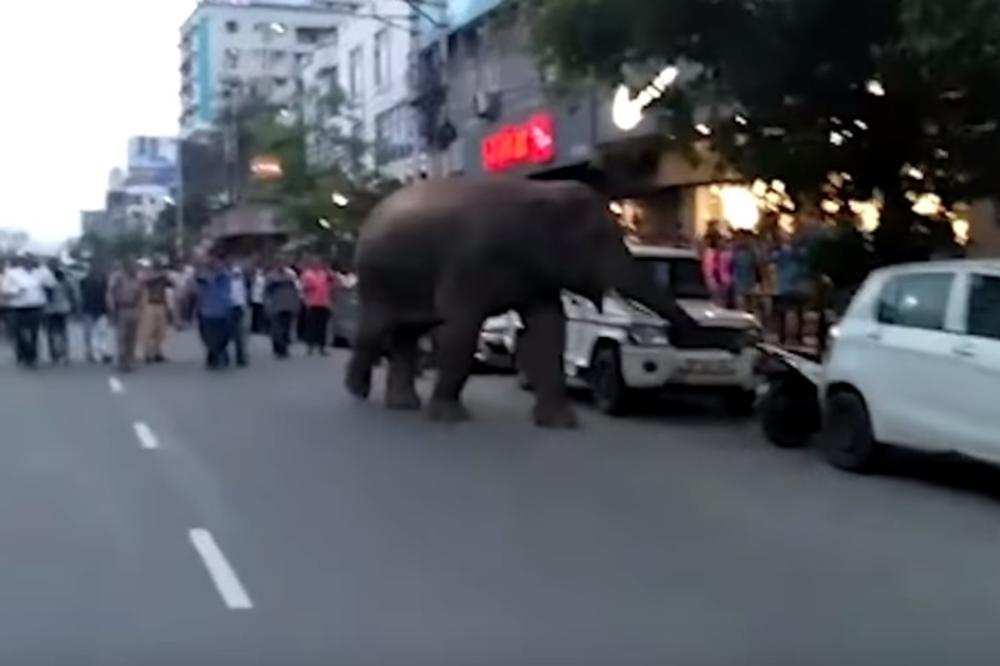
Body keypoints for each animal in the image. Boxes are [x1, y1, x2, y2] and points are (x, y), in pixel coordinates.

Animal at [348, 175, 708, 426]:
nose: (699, 334)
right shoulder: (469, 261)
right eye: (596, 239)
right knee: (375, 331)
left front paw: (562, 423)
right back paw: (358, 392)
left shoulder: (536, 277)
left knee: (406, 335)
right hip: (376, 279)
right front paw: (450, 417)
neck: (539, 190)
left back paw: (402, 404)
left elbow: (550, 329)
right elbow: (462, 329)